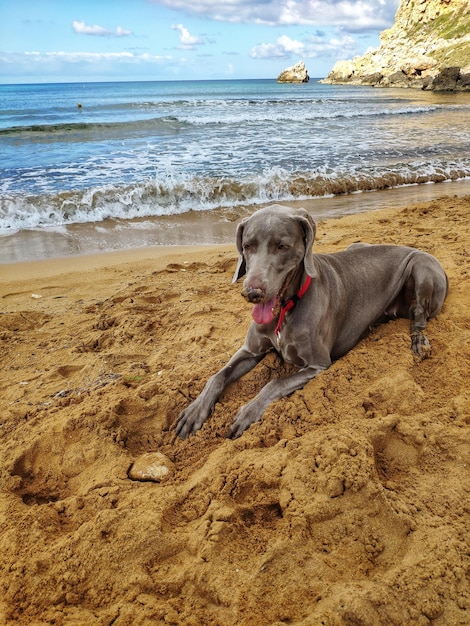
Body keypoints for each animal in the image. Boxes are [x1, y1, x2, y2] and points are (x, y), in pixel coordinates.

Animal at [176, 202, 448, 436]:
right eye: (247, 246)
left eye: (282, 246)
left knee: (419, 318)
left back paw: (419, 342)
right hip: (356, 245)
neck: (284, 311)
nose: (252, 293)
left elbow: (274, 383)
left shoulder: (318, 365)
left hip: (421, 266)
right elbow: (217, 375)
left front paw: (247, 412)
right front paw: (194, 411)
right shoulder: (250, 350)